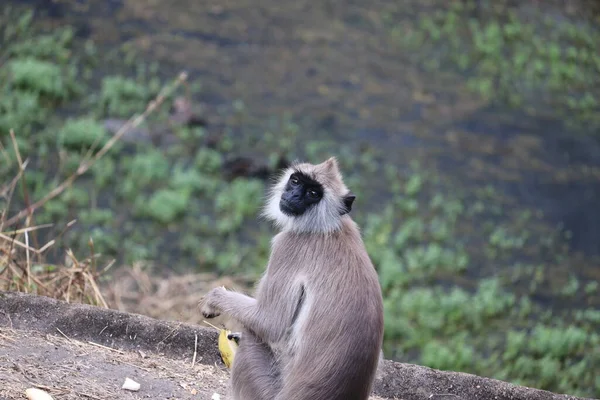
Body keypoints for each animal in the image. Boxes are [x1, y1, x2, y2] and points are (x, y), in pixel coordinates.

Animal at [202, 156, 384, 400]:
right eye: (296, 181)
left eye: (313, 193)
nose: (293, 195)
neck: (325, 228)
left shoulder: (287, 246)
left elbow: (270, 323)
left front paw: (214, 299)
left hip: (265, 391)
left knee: (254, 333)